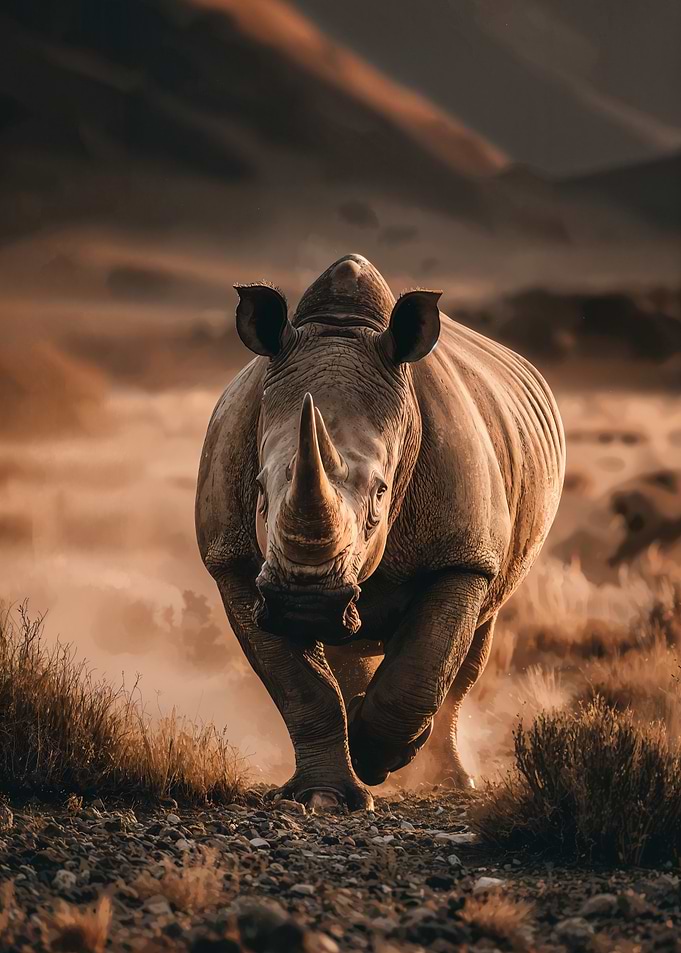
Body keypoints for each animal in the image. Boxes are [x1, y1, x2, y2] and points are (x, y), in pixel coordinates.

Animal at [196, 254, 565, 810]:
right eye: (258, 487)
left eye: (381, 494)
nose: (304, 601)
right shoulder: (232, 561)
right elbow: (301, 688)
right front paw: (324, 796)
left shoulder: (464, 556)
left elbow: (424, 669)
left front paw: (379, 758)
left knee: (472, 647)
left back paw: (452, 779)